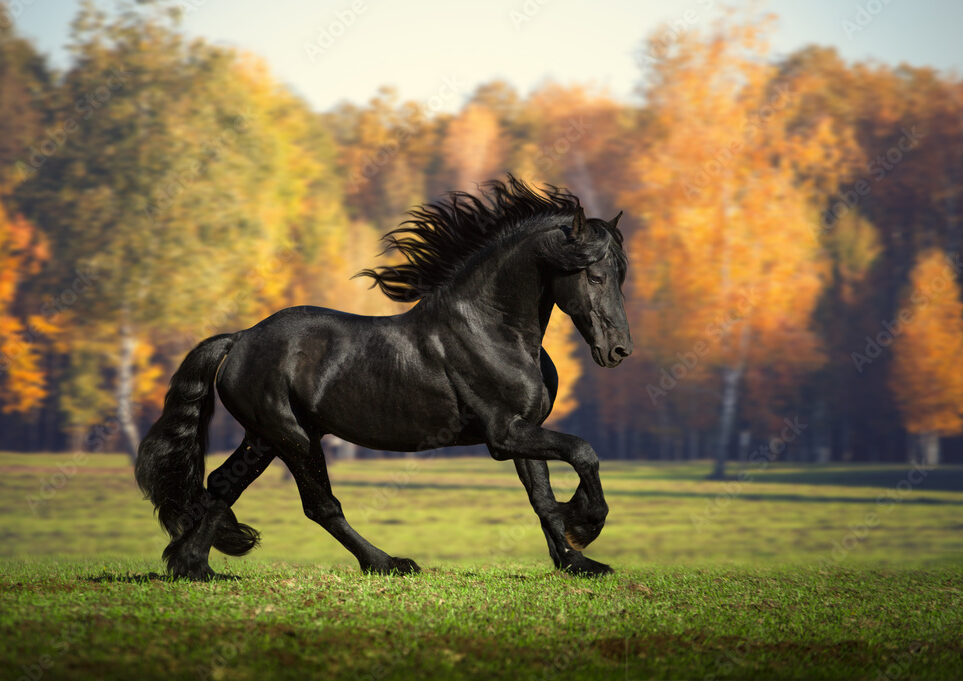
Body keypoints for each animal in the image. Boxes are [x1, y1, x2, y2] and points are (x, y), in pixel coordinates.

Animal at [136, 175, 632, 580]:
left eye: (619, 276)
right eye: (593, 274)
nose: (619, 351)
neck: (491, 328)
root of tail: (240, 339)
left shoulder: (523, 430)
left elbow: (542, 498)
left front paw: (577, 562)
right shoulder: (504, 434)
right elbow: (583, 452)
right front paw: (586, 523)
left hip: (265, 437)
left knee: (223, 485)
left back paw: (192, 567)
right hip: (293, 437)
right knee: (320, 505)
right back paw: (388, 563)